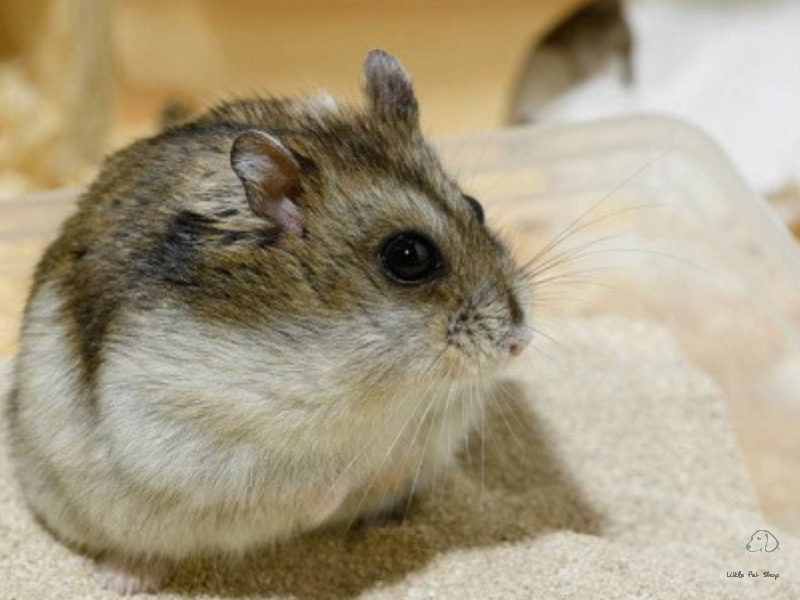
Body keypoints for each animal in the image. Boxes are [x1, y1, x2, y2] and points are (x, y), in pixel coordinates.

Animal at [5, 51, 531, 595]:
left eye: (476, 207)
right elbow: (313, 486)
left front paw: (390, 472)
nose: (518, 342)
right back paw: (123, 579)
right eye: (408, 256)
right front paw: (351, 480)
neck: (375, 372)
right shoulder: (189, 432)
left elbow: (411, 447)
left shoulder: (448, 412)